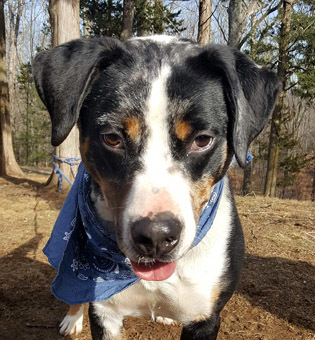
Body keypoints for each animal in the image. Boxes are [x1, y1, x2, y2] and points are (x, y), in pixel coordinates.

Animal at [32, 35, 278, 338]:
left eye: (202, 140)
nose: (156, 236)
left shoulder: (205, 317)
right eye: (112, 138)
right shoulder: (105, 313)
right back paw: (72, 317)